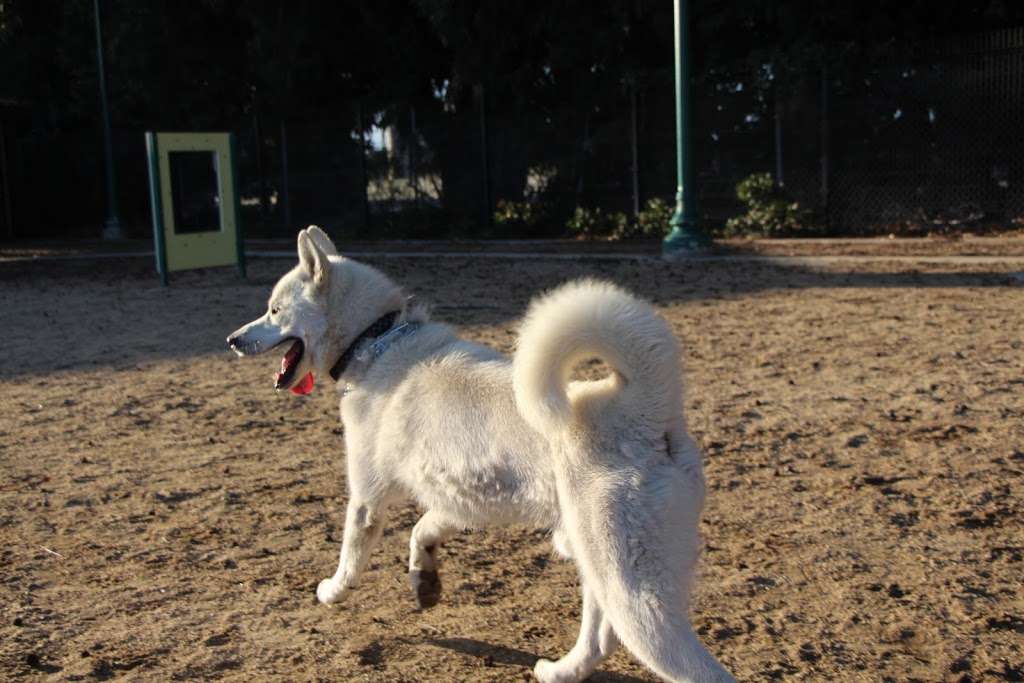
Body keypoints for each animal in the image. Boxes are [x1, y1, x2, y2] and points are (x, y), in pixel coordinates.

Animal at [228, 227, 733, 679]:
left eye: (274, 309)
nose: (233, 340)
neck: (376, 340)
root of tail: (645, 408)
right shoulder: (458, 500)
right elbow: (423, 531)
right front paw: (425, 581)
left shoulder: (368, 498)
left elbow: (351, 556)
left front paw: (332, 591)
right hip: (595, 564)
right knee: (598, 641)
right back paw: (559, 671)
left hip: (630, 589)